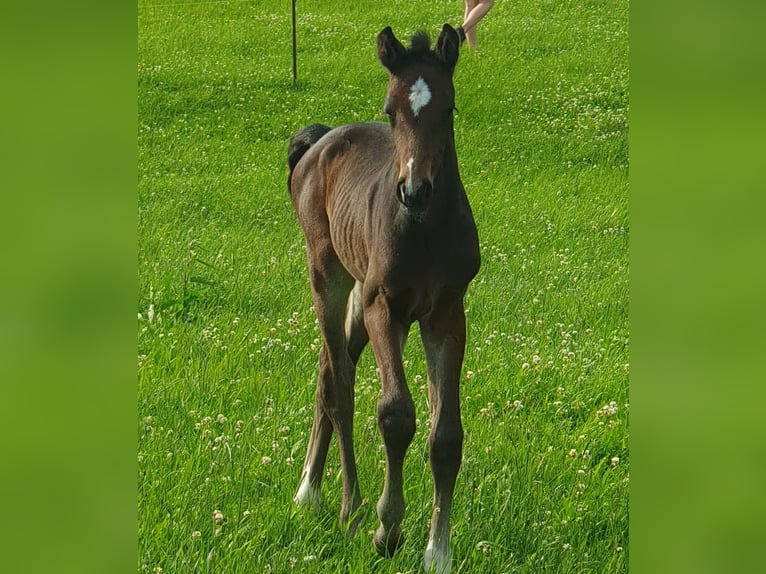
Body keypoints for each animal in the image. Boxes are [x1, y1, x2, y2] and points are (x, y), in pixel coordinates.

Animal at [288, 24, 480, 572]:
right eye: (390, 110)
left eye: (448, 108)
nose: (414, 190)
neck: (424, 230)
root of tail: (320, 138)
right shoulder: (384, 308)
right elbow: (395, 414)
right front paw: (386, 529)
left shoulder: (446, 314)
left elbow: (445, 435)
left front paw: (438, 551)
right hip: (328, 275)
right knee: (339, 385)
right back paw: (344, 506)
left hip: (356, 290)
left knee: (326, 369)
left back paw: (312, 491)